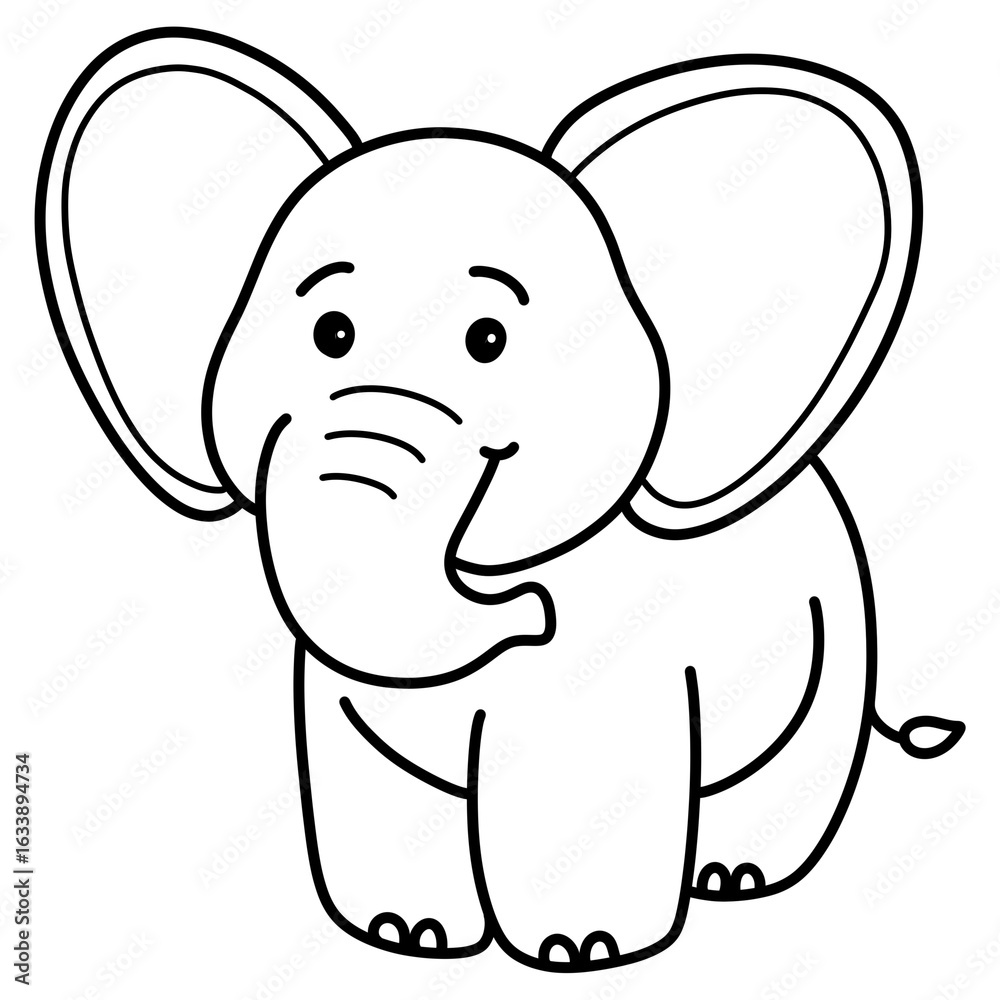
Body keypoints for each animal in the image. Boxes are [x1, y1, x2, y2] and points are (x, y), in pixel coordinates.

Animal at [37, 28, 965, 973]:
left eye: (489, 340)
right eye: (331, 334)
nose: (529, 611)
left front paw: (582, 950)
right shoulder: (329, 690)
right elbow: (374, 770)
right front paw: (406, 934)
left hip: (838, 634)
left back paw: (733, 876)